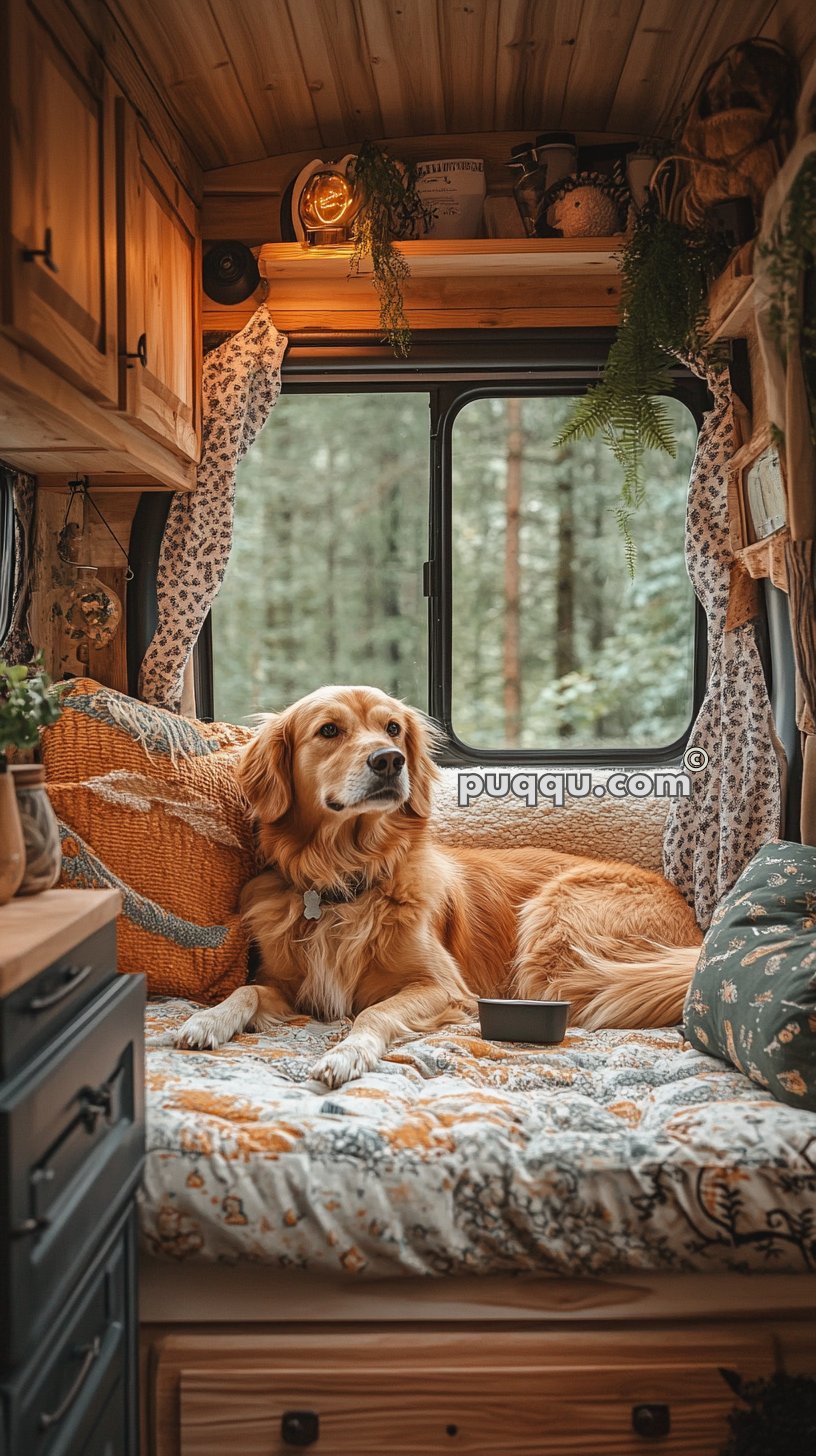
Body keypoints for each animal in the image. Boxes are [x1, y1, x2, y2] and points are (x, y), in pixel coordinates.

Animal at [178, 687, 702, 1089]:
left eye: (393, 728)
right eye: (329, 730)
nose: (389, 760)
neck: (347, 879)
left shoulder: (442, 987)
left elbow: (373, 1014)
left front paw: (347, 1053)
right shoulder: (287, 985)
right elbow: (246, 991)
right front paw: (207, 1019)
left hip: (556, 919)